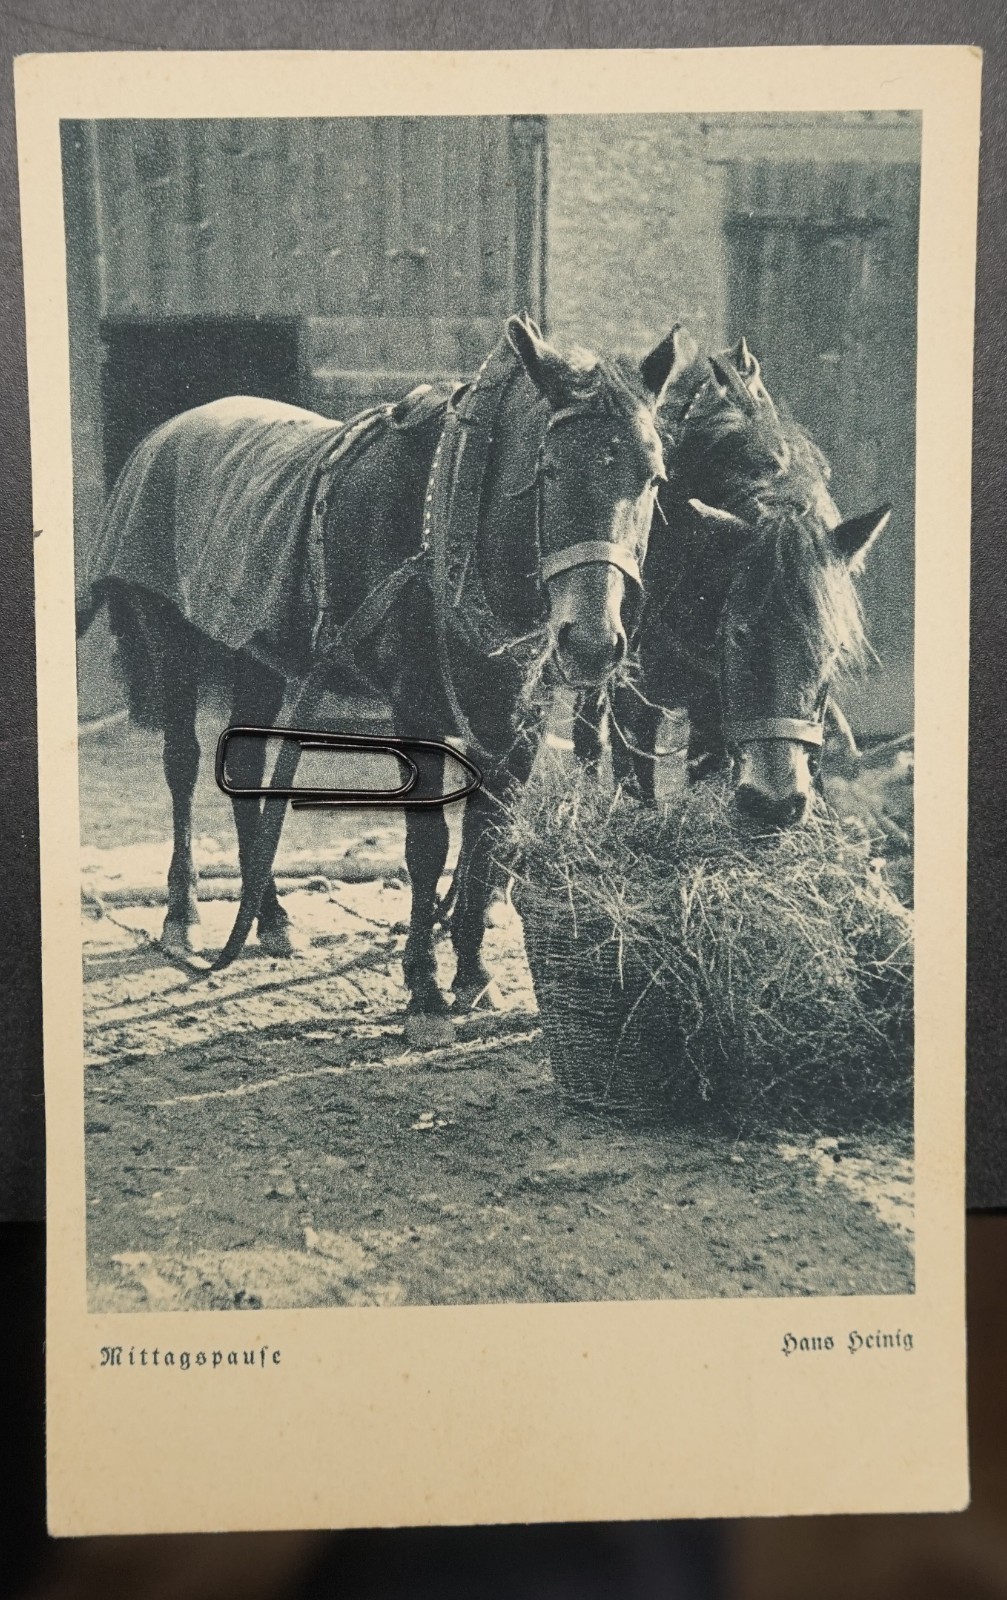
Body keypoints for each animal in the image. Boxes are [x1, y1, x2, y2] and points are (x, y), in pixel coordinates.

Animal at [78, 314, 680, 1044]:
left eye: (653, 478)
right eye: (547, 469)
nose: (591, 643)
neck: (451, 518)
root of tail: (162, 436)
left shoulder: (517, 718)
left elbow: (488, 839)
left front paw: (473, 975)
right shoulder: (417, 712)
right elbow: (428, 846)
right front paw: (422, 986)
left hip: (257, 652)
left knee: (245, 766)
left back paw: (270, 918)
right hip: (174, 644)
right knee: (182, 765)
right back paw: (184, 914)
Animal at [572, 327, 892, 827]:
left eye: (833, 649)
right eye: (739, 633)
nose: (774, 804)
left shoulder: (718, 716)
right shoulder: (634, 699)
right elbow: (635, 775)